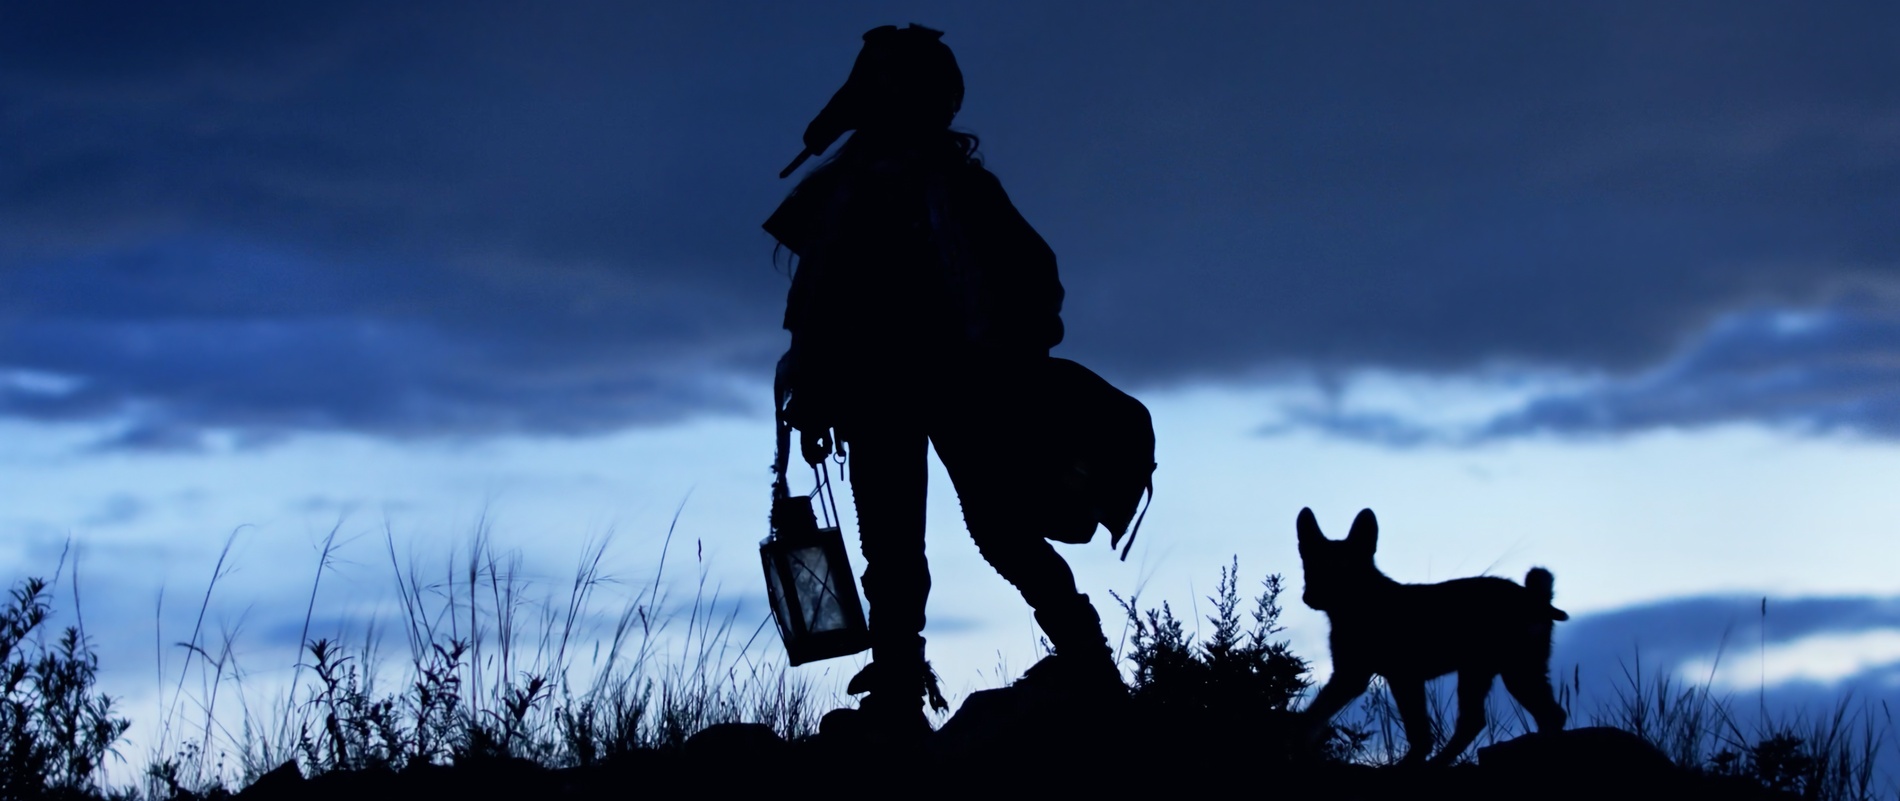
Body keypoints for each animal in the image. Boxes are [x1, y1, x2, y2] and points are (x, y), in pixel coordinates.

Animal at [1296, 507, 1568, 765]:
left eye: (1342, 567)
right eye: (1309, 566)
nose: (1310, 597)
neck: (1359, 603)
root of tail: (1536, 597)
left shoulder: (1397, 677)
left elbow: (1418, 731)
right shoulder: (1351, 675)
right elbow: (1313, 716)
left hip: (1512, 671)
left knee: (1546, 716)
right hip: (1492, 672)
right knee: (1485, 720)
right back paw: (1441, 761)